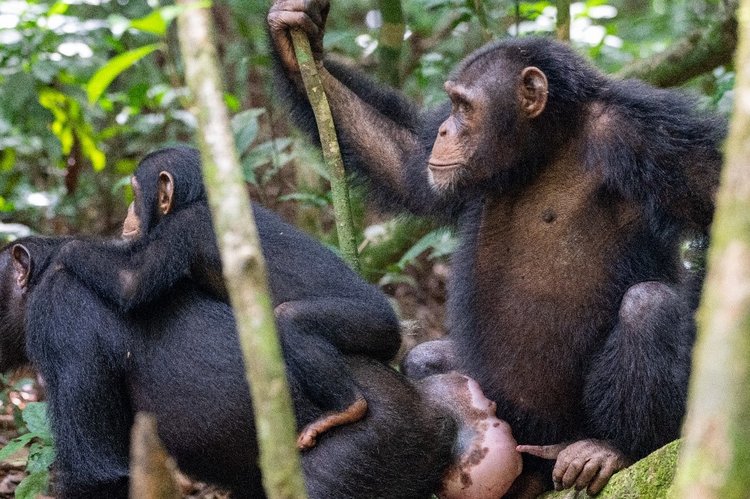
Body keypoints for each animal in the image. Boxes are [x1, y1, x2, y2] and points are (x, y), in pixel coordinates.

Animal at [57, 146, 406, 452]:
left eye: (134, 192)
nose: (128, 212)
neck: (196, 199)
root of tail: (398, 330)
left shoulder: (185, 226)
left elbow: (130, 283)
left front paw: (64, 249)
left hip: (373, 324)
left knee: (292, 319)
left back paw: (347, 408)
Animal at [268, 1, 724, 496]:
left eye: (464, 107)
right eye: (450, 104)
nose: (444, 130)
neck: (547, 146)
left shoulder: (647, 135)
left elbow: (718, 201)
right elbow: (406, 164)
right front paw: (296, 34)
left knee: (648, 305)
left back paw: (611, 447)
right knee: (425, 359)